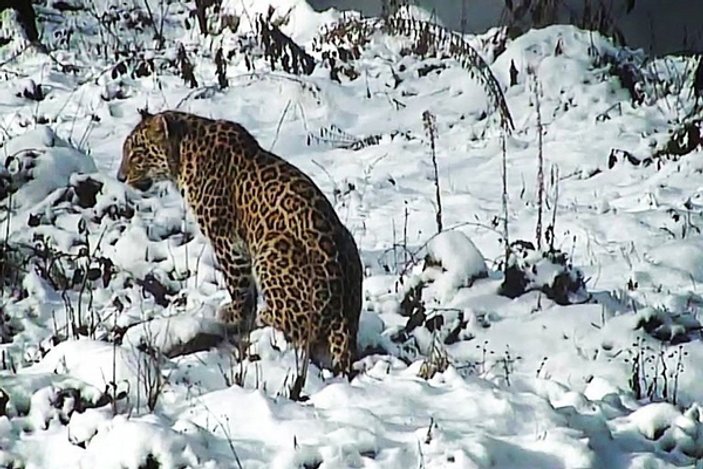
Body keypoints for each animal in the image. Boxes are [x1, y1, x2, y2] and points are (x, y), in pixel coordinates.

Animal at [117, 109, 364, 376]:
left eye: (137, 153)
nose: (120, 177)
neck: (183, 155)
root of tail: (343, 316)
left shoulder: (226, 238)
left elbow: (238, 283)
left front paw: (234, 313)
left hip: (272, 248)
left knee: (296, 328)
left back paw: (263, 318)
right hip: (346, 240)